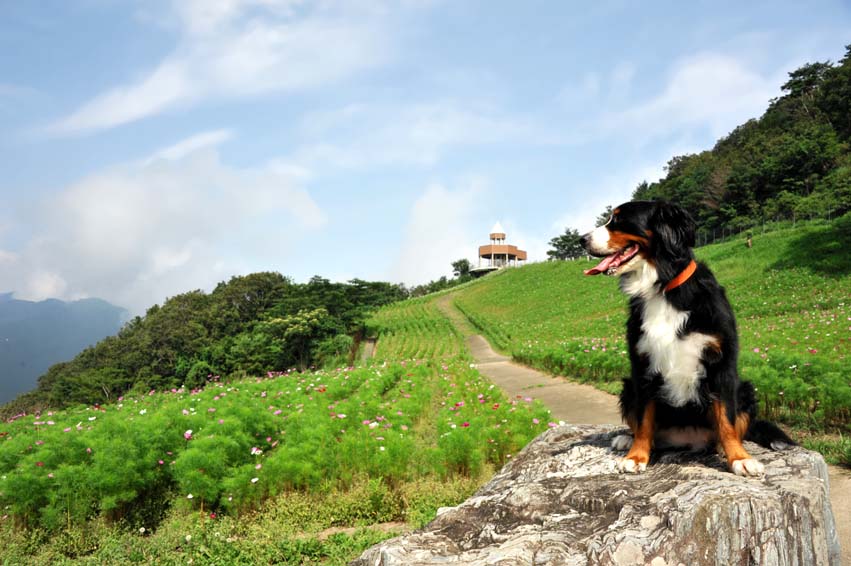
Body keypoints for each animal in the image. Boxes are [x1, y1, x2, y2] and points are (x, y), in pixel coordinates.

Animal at [580, 202, 792, 478]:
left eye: (619, 219)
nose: (581, 240)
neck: (664, 288)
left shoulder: (721, 363)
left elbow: (727, 419)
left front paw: (740, 458)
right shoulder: (642, 365)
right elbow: (644, 419)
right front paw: (636, 456)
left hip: (745, 387)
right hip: (628, 385)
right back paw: (627, 439)